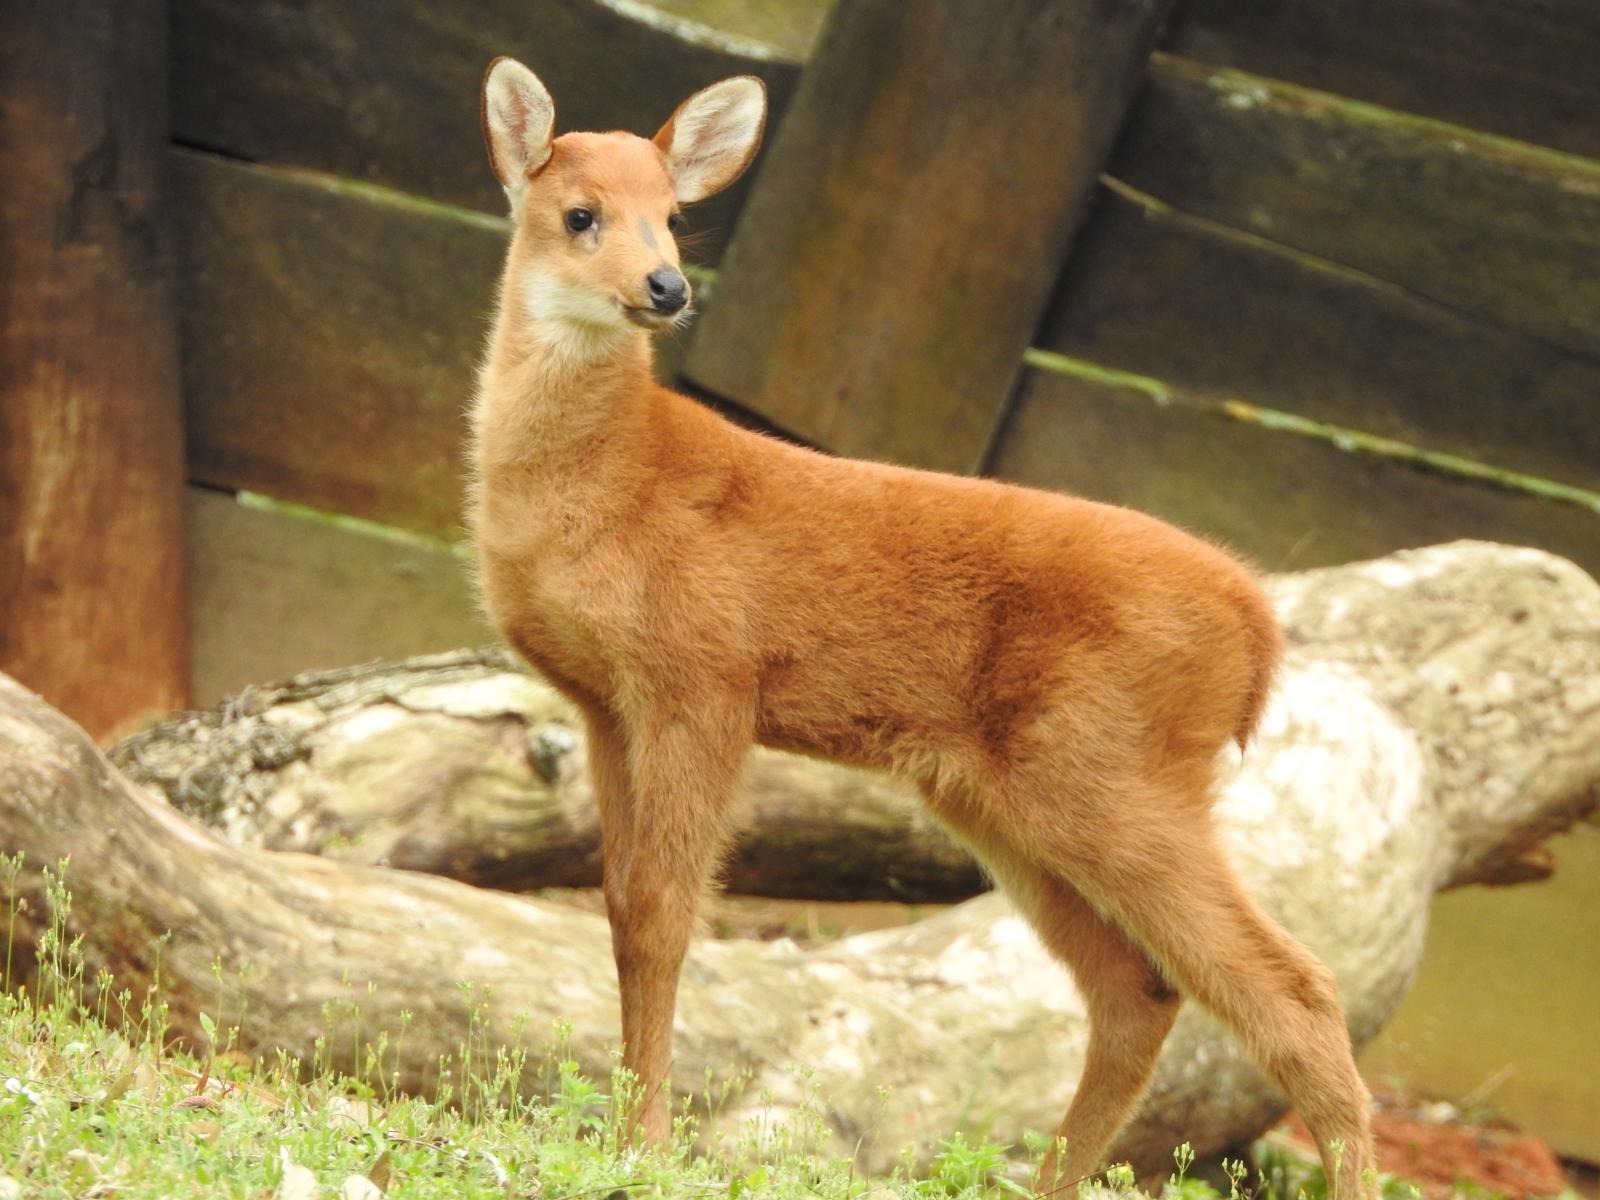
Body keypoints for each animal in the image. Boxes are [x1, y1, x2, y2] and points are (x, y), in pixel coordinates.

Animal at [470, 58, 1376, 1200]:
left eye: (674, 218)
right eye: (581, 214)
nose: (667, 287)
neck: (611, 482)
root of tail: (1258, 632)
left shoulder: (705, 678)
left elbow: (669, 914)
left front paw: (647, 1145)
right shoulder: (603, 704)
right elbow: (624, 911)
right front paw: (622, 1136)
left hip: (1118, 770)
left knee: (1294, 988)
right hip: (1009, 795)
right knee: (1138, 989)